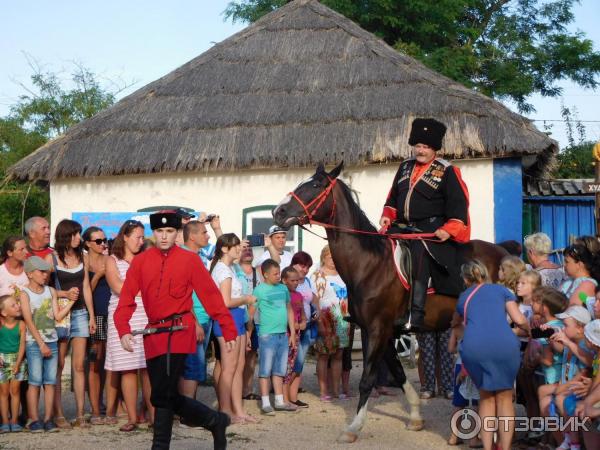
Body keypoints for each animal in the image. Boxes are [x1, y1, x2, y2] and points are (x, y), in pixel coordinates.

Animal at [272, 162, 516, 442]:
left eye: (315, 185)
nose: (278, 212)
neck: (370, 264)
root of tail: (505, 254)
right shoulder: (381, 331)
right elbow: (398, 373)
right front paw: (416, 416)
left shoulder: (378, 329)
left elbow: (367, 379)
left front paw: (354, 427)